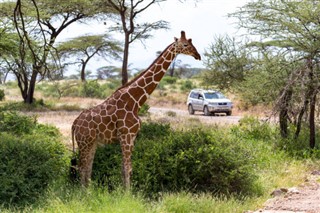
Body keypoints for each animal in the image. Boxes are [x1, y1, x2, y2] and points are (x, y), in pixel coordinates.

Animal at [72, 30, 200, 187]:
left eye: (191, 42)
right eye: (185, 44)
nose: (198, 55)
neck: (135, 101)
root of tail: (74, 123)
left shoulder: (132, 136)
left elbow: (124, 168)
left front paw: (124, 190)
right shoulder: (126, 135)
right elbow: (128, 167)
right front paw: (128, 192)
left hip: (92, 142)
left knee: (88, 166)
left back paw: (88, 190)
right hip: (84, 142)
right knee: (81, 167)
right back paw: (83, 191)